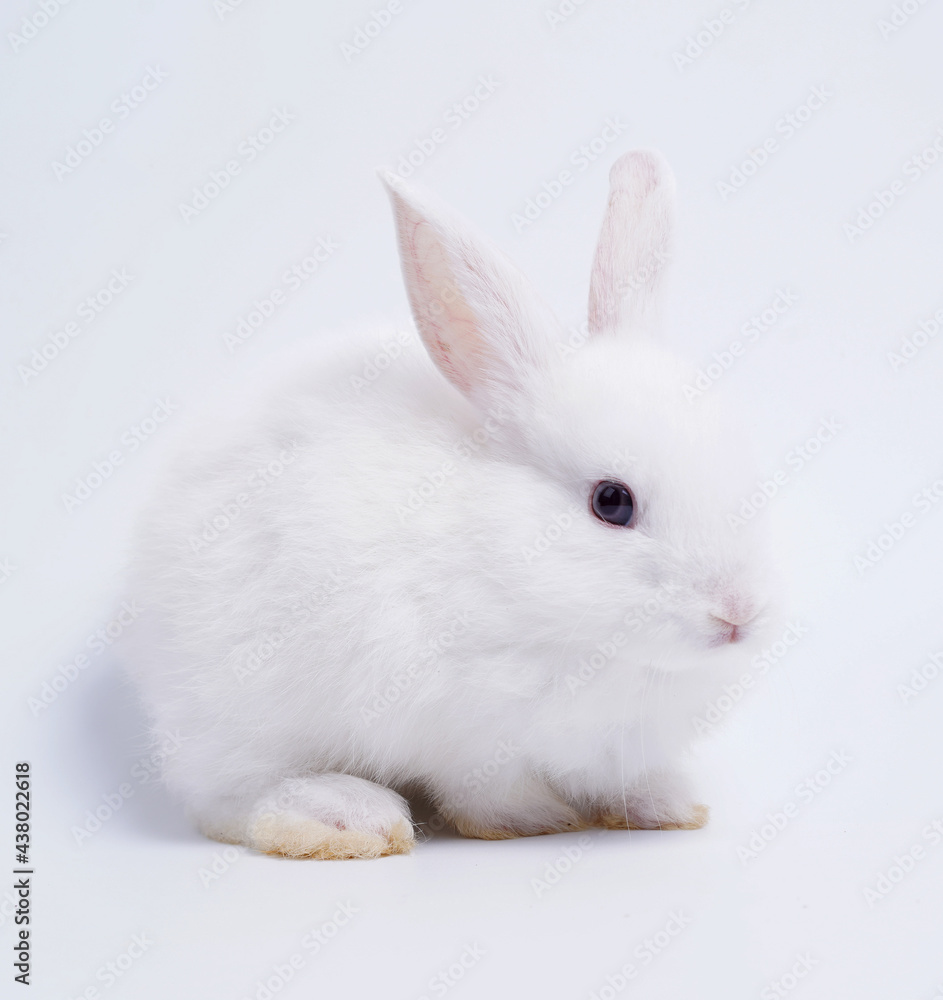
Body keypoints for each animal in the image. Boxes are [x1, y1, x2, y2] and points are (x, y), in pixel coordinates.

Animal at [123, 150, 776, 860]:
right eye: (611, 502)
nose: (738, 614)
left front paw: (668, 806)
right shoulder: (466, 730)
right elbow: (486, 789)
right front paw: (532, 820)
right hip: (235, 717)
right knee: (233, 801)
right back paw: (346, 816)